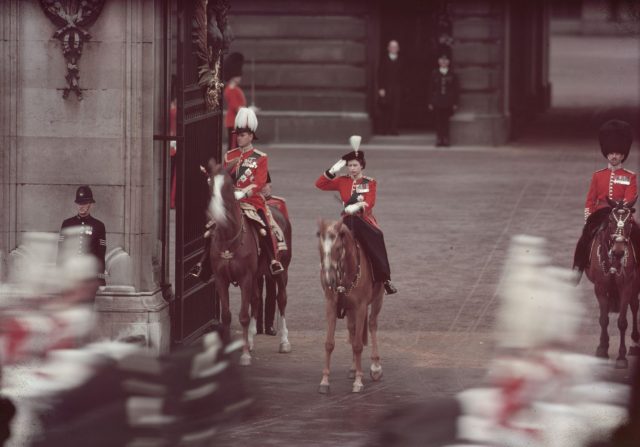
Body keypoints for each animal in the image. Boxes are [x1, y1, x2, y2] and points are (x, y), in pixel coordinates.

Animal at [208, 163, 292, 366]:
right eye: (209, 184)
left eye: (228, 187)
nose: (216, 214)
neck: (229, 239)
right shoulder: (221, 279)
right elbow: (227, 315)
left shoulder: (245, 278)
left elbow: (244, 316)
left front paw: (245, 355)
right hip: (257, 275)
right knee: (255, 300)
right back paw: (252, 340)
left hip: (281, 271)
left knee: (281, 300)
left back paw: (284, 342)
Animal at [316, 219, 382, 394]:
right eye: (320, 248)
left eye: (338, 248)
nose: (328, 279)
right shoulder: (331, 305)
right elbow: (329, 343)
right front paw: (324, 381)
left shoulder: (361, 307)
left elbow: (358, 345)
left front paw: (359, 381)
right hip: (350, 310)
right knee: (352, 331)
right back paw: (353, 368)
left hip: (377, 300)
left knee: (372, 325)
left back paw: (375, 366)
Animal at [588, 199, 636, 368]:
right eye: (610, 220)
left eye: (629, 221)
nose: (619, 251)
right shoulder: (600, 287)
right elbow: (604, 319)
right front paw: (602, 348)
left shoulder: (627, 288)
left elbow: (622, 322)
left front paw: (621, 357)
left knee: (635, 308)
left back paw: (635, 343)